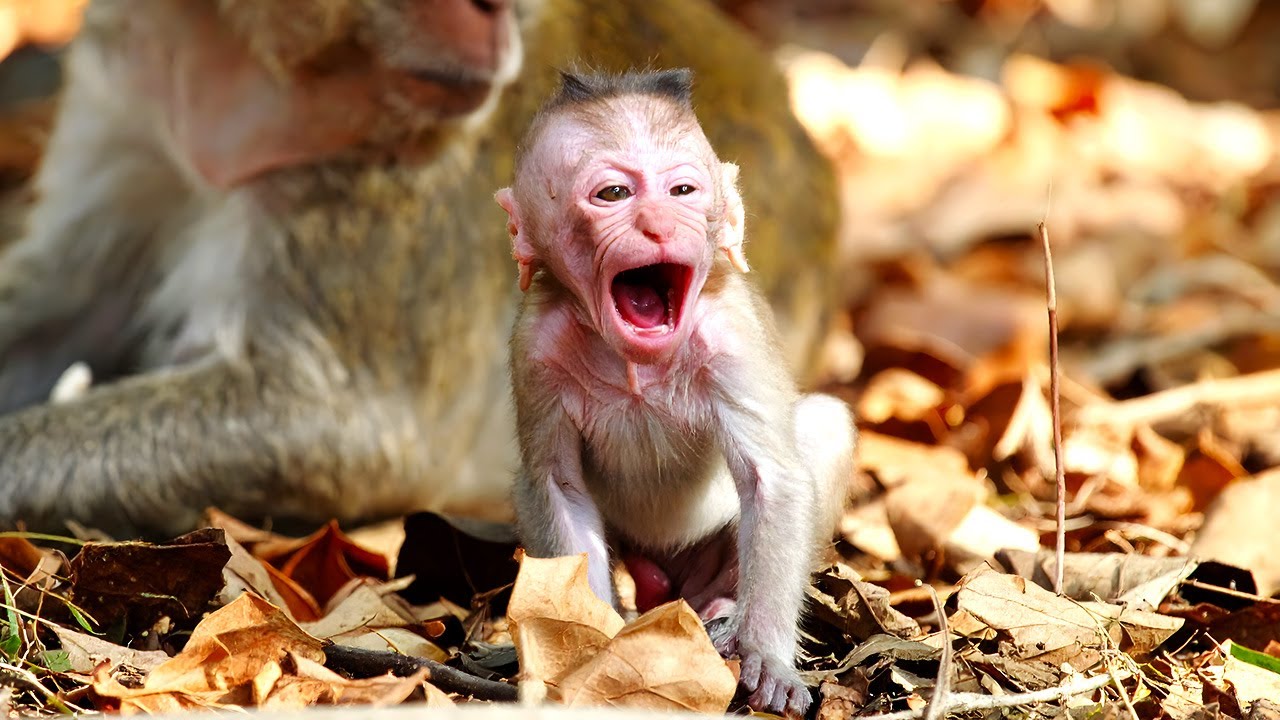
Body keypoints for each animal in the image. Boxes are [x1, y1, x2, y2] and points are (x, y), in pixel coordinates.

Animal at [497, 69, 857, 717]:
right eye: (613, 194)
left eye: (682, 190)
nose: (660, 225)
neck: (638, 365)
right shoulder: (535, 350)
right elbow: (557, 485)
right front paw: (595, 645)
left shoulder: (732, 336)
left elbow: (772, 477)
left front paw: (766, 657)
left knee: (821, 425)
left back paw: (720, 605)